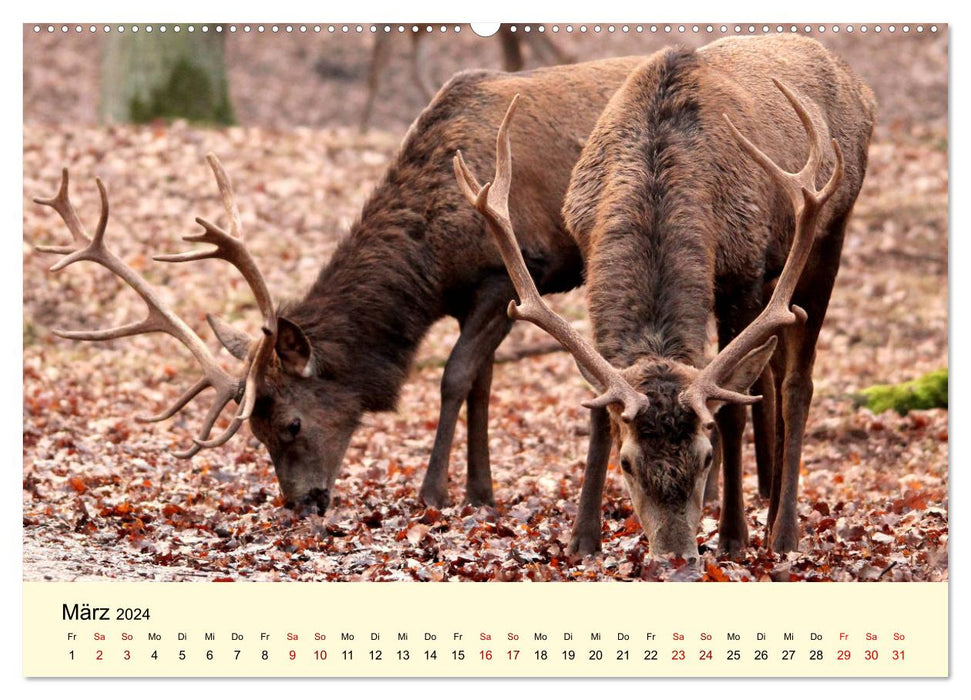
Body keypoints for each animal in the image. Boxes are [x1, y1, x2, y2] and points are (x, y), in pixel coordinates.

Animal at [38, 56, 644, 516]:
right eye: (256, 434)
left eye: (291, 424)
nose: (303, 503)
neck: (431, 265)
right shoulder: (482, 294)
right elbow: (482, 385)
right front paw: (481, 493)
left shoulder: (510, 271)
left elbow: (454, 378)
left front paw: (433, 493)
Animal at [456, 35, 872, 560]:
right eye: (628, 463)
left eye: (705, 455)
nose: (676, 553)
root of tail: (862, 89)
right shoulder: (590, 255)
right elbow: (600, 406)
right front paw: (583, 538)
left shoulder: (743, 272)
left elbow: (732, 410)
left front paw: (733, 537)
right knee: (772, 370)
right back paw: (772, 501)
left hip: (827, 235)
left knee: (797, 383)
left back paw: (783, 531)